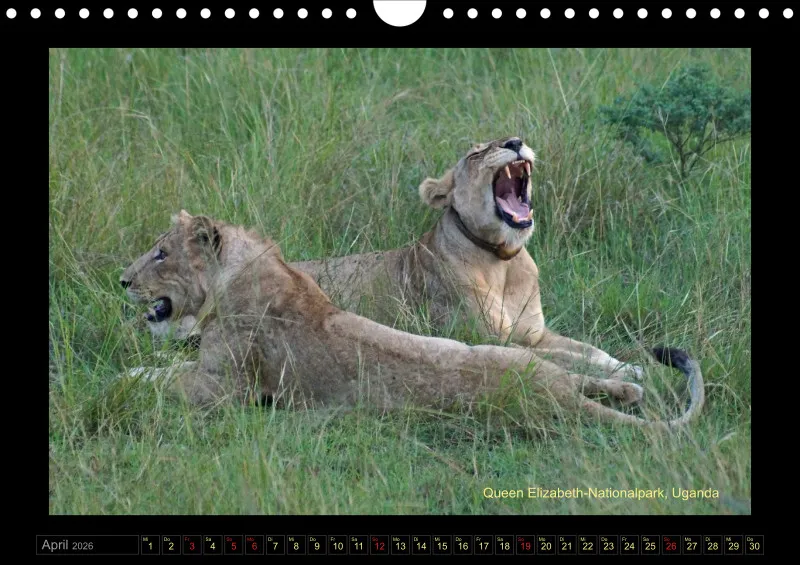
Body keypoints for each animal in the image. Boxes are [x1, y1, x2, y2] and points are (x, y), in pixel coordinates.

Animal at [119, 211, 703, 431]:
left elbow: (161, 380)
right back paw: (631, 385)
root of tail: (550, 398)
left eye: (160, 254)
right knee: (600, 381)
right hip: (507, 353)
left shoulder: (224, 390)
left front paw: (124, 379)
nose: (123, 281)